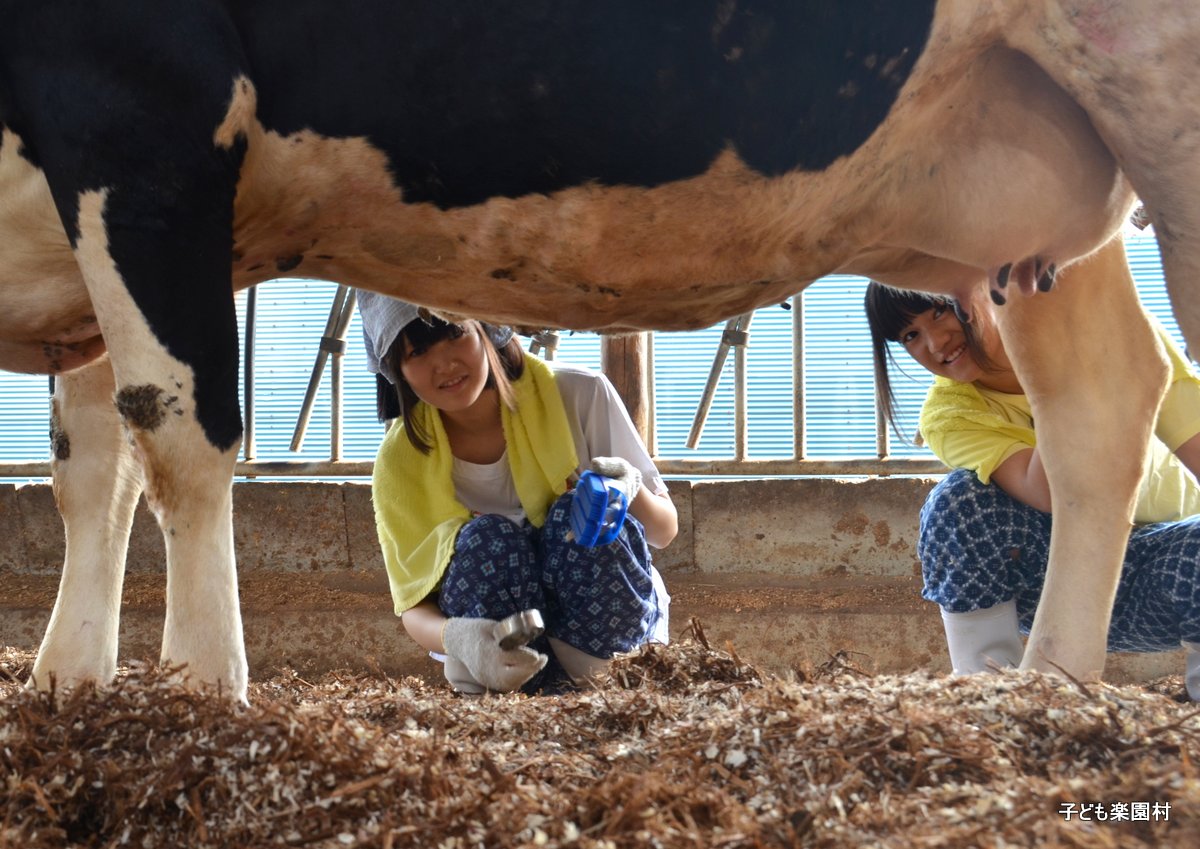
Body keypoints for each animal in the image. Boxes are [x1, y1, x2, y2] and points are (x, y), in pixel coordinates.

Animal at [0, 1, 1195, 705]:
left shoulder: (139, 105)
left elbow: (177, 438)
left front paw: (199, 691)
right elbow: (90, 469)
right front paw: (70, 682)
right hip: (1037, 185)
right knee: (1102, 406)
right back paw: (1048, 689)